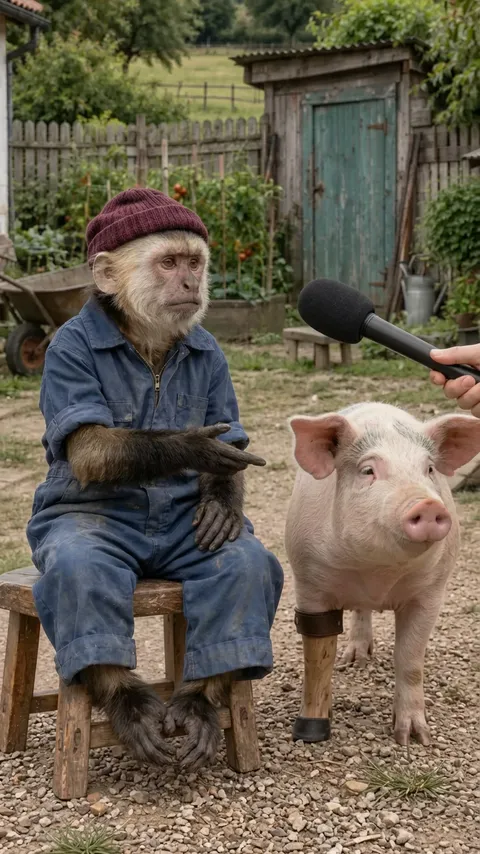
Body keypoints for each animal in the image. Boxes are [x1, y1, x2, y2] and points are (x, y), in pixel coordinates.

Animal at [285, 401, 480, 745]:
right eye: (368, 471)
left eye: (429, 469)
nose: (427, 505)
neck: (377, 572)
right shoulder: (308, 581)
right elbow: (317, 659)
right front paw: (311, 730)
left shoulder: (431, 592)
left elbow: (410, 659)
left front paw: (413, 739)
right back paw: (355, 661)